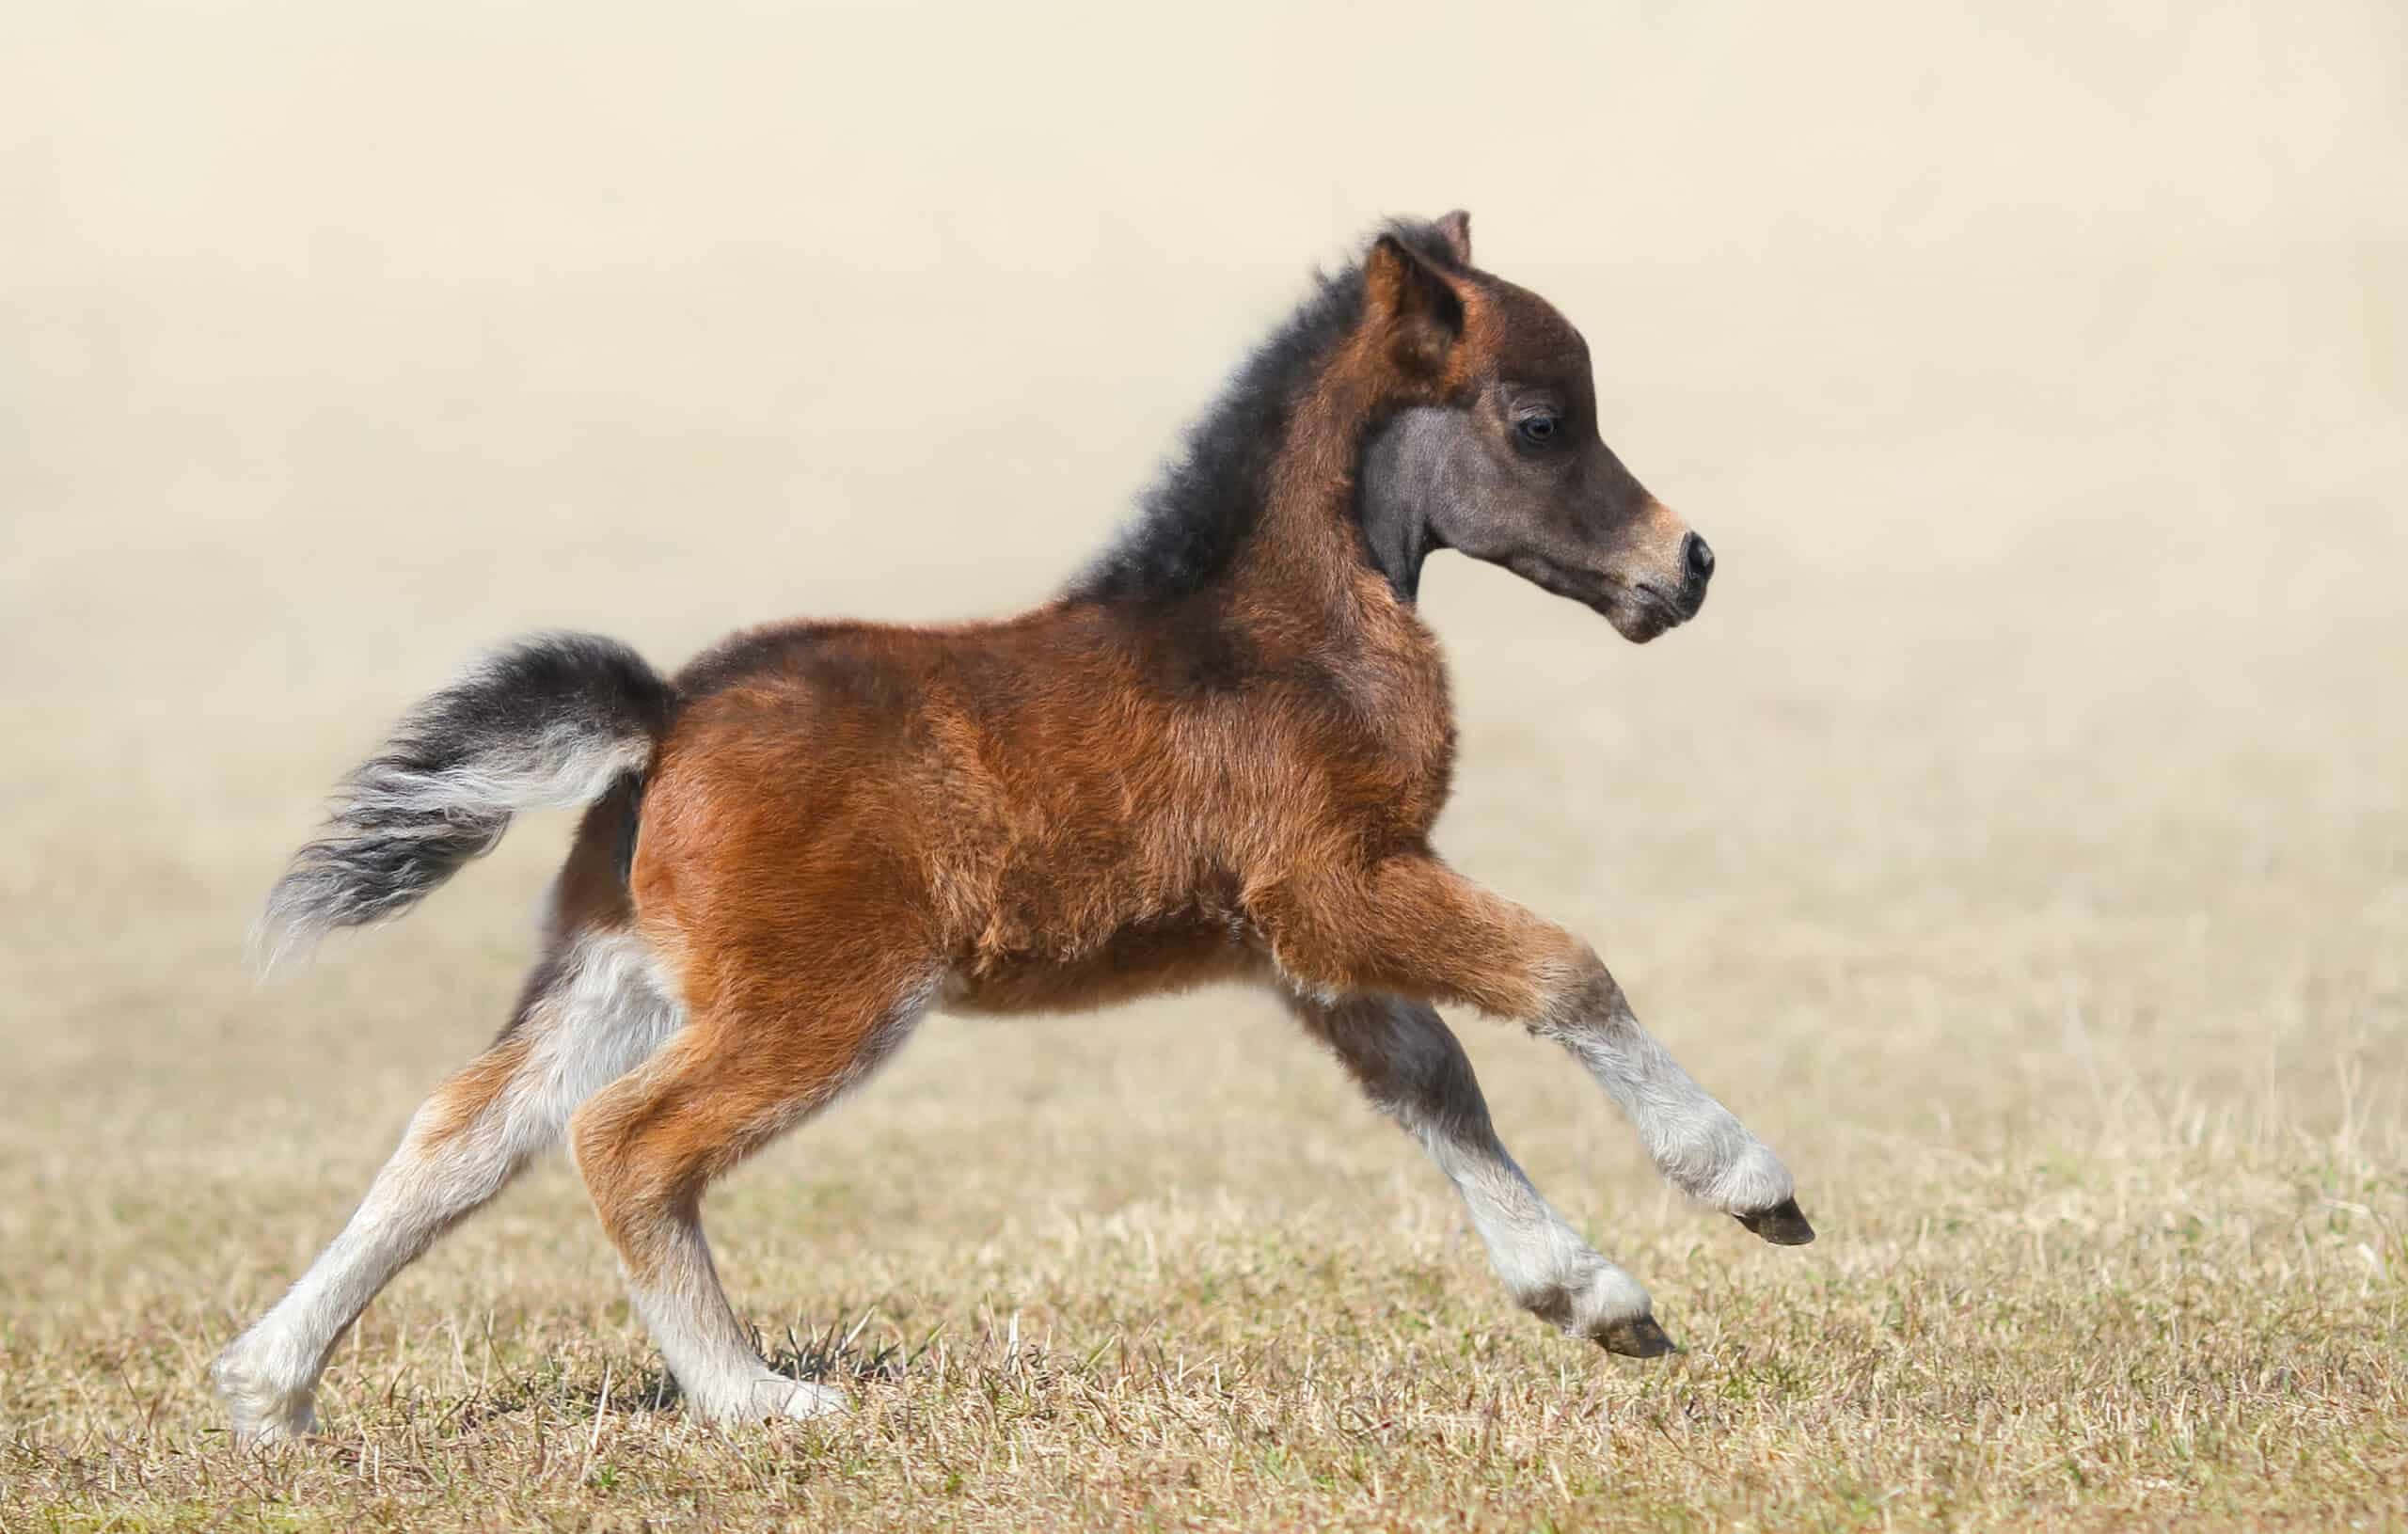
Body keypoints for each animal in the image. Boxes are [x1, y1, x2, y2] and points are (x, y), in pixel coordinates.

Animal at [213, 212, 1813, 1444]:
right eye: (1539, 423)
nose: (1687, 562)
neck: (1277, 631)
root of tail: (663, 713)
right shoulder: (1336, 882)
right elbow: (1562, 970)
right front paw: (1745, 1182)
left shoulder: (1298, 942)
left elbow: (1438, 1087)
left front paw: (1592, 1297)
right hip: (826, 991)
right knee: (626, 1139)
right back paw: (756, 1397)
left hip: (617, 965)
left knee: (466, 1132)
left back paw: (269, 1388)